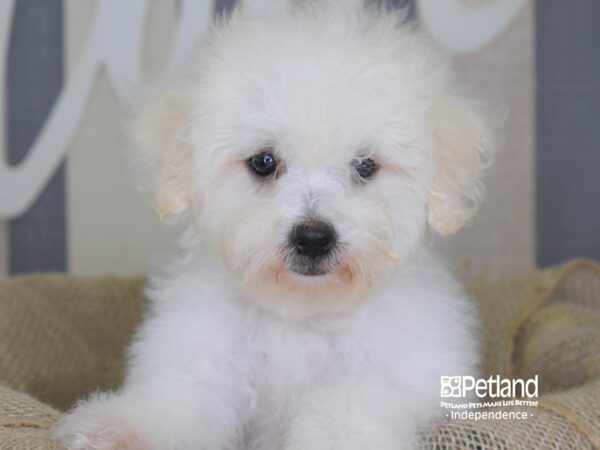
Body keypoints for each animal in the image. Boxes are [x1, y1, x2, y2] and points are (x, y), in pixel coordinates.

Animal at [55, 1, 492, 448]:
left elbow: (343, 404)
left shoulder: (400, 376)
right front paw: (114, 428)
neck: (301, 315)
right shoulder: (203, 365)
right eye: (263, 162)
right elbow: (180, 404)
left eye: (366, 166)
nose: (313, 237)